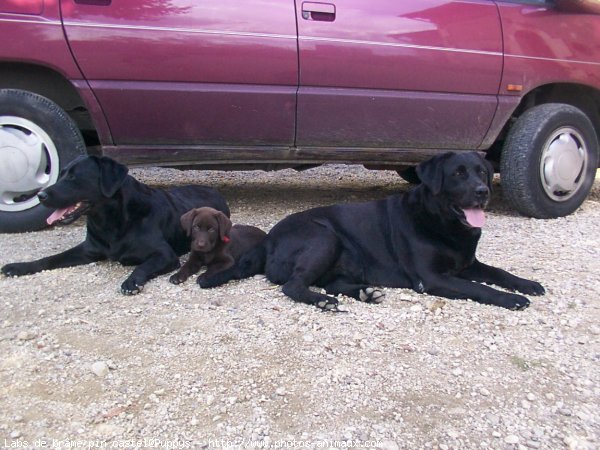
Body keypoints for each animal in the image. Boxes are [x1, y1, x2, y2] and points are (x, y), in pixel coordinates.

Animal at [1, 156, 230, 296]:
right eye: (62, 173)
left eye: (74, 177)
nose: (41, 195)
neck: (109, 222)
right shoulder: (88, 250)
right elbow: (51, 259)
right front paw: (20, 266)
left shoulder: (165, 255)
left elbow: (142, 266)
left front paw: (132, 281)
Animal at [202, 151, 544, 310]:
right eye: (458, 174)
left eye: (482, 172)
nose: (483, 191)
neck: (443, 223)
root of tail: (269, 238)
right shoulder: (432, 278)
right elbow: (480, 288)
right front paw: (511, 299)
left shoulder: (469, 263)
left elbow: (499, 272)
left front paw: (527, 284)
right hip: (323, 236)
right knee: (293, 285)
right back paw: (323, 301)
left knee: (331, 282)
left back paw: (365, 292)